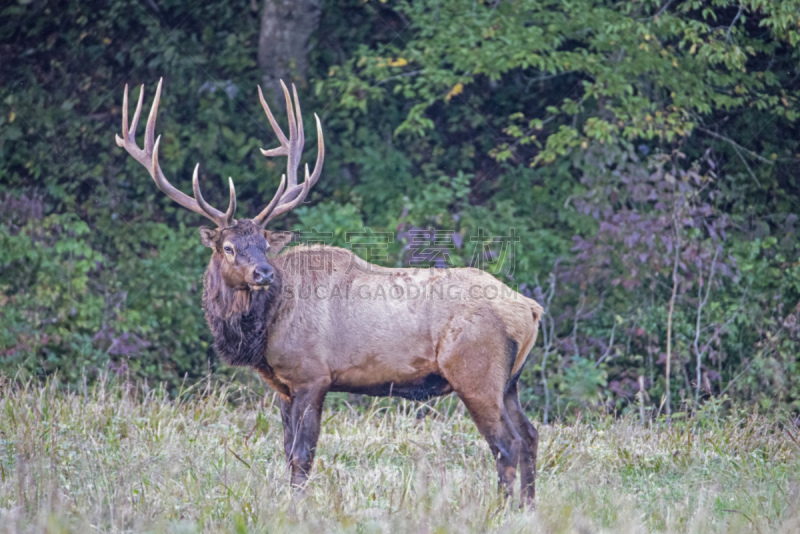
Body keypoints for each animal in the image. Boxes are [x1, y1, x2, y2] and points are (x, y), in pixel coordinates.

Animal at [115, 78, 544, 502]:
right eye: (229, 247)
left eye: (265, 244)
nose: (263, 273)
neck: (264, 330)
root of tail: (531, 309)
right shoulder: (284, 387)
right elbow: (287, 452)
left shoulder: (311, 376)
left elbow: (302, 455)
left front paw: (297, 507)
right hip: (510, 381)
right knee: (530, 436)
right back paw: (527, 507)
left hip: (476, 372)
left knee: (506, 443)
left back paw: (501, 509)